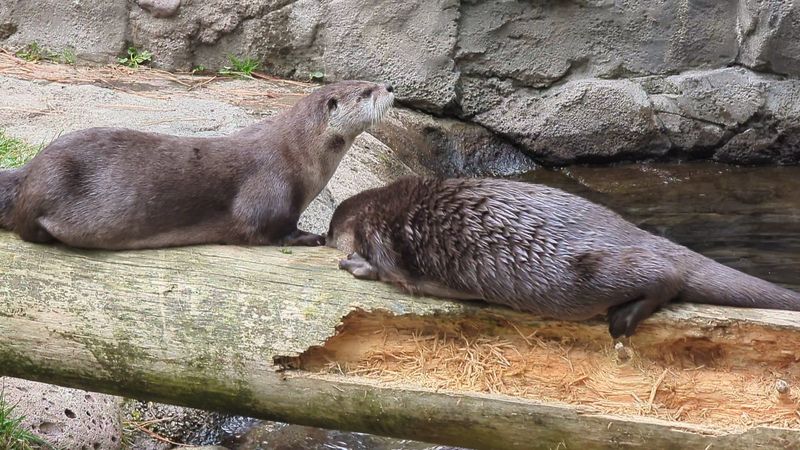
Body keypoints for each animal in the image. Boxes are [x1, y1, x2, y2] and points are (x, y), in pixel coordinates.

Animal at [0, 80, 394, 250]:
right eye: (365, 92)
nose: (389, 87)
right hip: (49, 182)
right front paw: (312, 236)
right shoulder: (270, 187)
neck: (299, 152)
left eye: (372, 82)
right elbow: (263, 227)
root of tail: (28, 170)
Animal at [326, 177, 800, 338]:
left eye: (330, 232)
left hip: (587, 275)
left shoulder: (384, 238)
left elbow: (392, 272)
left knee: (667, 274)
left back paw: (624, 319)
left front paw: (356, 264)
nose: (327, 237)